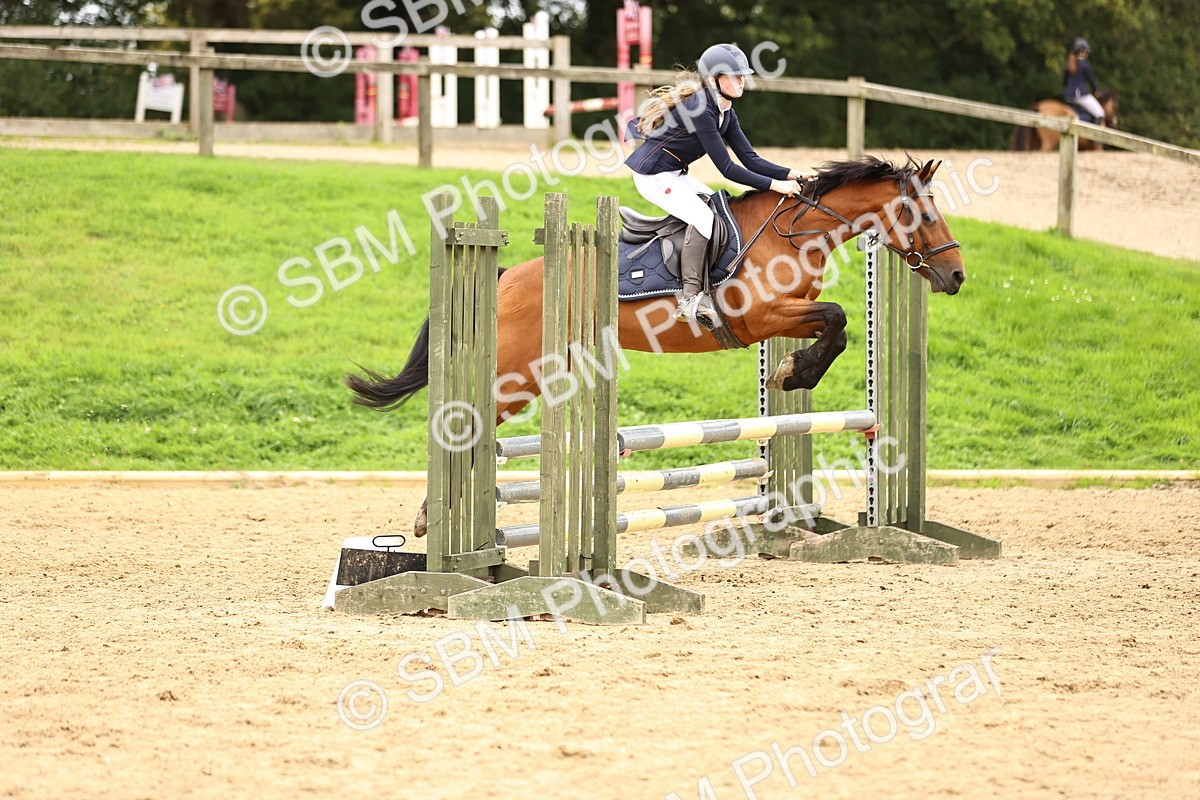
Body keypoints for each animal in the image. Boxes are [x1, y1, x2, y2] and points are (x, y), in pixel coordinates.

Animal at [346, 156, 966, 535]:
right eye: (922, 213)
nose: (956, 276)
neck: (793, 235)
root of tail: (504, 277)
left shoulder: (784, 318)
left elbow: (835, 330)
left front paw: (792, 372)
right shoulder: (759, 317)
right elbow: (837, 317)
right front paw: (794, 371)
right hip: (515, 376)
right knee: (466, 424)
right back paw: (436, 522)